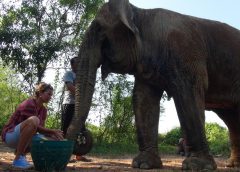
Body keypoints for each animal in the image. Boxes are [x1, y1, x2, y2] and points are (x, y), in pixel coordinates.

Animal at [66, 0, 240, 170]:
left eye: (100, 31)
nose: (81, 137)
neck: (142, 13)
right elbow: (144, 100)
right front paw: (143, 164)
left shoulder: (187, 55)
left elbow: (188, 95)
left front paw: (197, 166)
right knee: (232, 119)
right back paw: (233, 164)